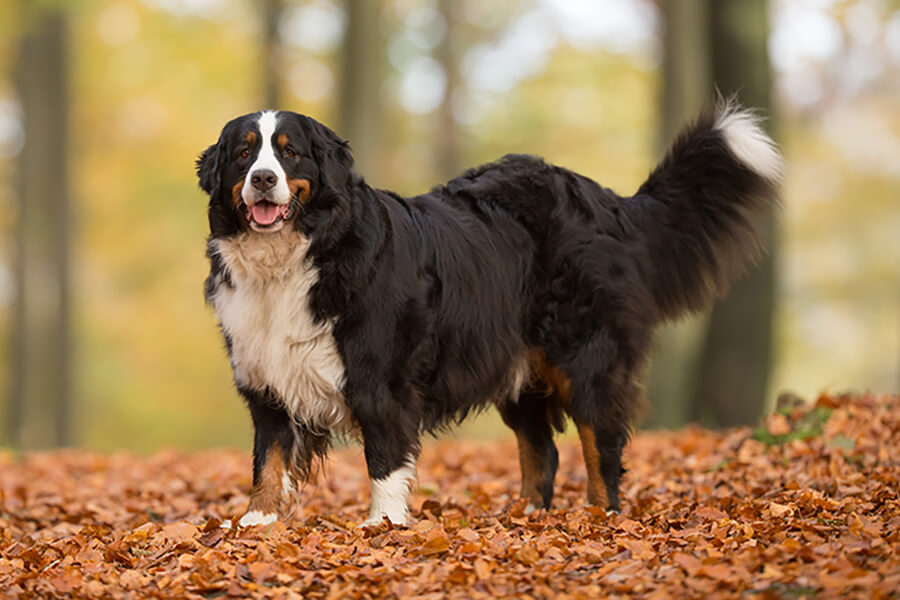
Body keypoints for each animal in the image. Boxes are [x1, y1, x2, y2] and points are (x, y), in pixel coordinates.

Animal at [195, 97, 780, 524]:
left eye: (290, 153)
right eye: (245, 154)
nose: (263, 179)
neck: (297, 257)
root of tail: (603, 199)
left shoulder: (380, 380)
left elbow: (384, 460)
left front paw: (382, 526)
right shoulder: (266, 375)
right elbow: (268, 459)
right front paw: (257, 524)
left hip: (584, 357)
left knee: (601, 444)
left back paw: (599, 517)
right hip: (518, 369)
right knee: (542, 451)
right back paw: (525, 516)